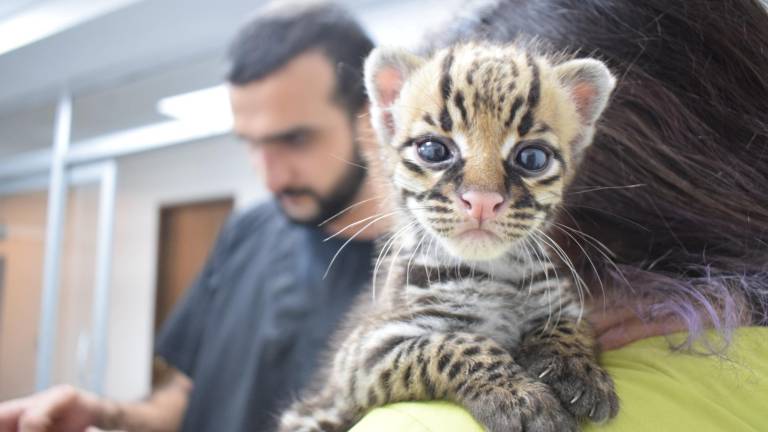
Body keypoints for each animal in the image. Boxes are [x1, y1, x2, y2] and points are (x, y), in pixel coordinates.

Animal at [280, 41, 620, 432]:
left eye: (533, 158)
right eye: (433, 151)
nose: (483, 201)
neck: (497, 273)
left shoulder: (562, 302)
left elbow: (569, 326)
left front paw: (576, 367)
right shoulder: (364, 353)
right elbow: (453, 343)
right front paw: (521, 397)